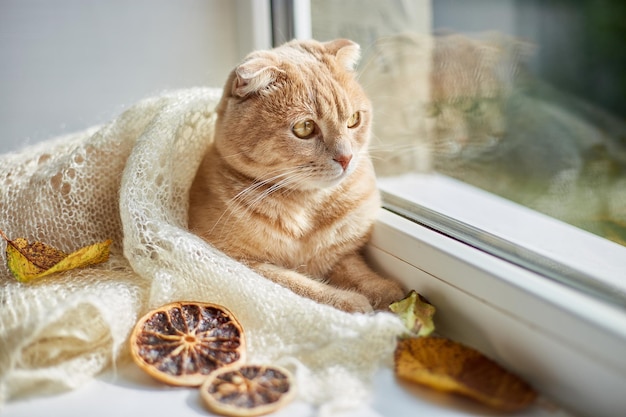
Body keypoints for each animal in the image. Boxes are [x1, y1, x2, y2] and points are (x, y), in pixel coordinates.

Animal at [189, 39, 404, 312]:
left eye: (354, 120)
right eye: (305, 128)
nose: (346, 157)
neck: (308, 205)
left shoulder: (338, 254)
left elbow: (356, 269)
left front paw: (385, 292)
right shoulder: (237, 262)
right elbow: (302, 286)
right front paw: (350, 302)